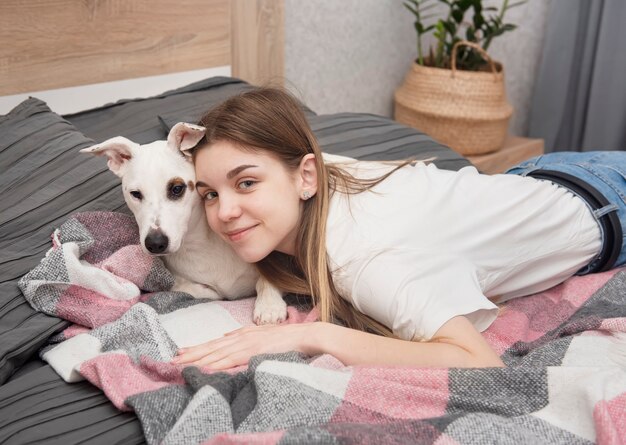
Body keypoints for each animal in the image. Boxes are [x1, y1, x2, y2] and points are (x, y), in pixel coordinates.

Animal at [81, 121, 286, 322]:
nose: (155, 243)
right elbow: (194, 289)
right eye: (136, 194)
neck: (200, 244)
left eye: (177, 189)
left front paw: (269, 304)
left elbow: (267, 277)